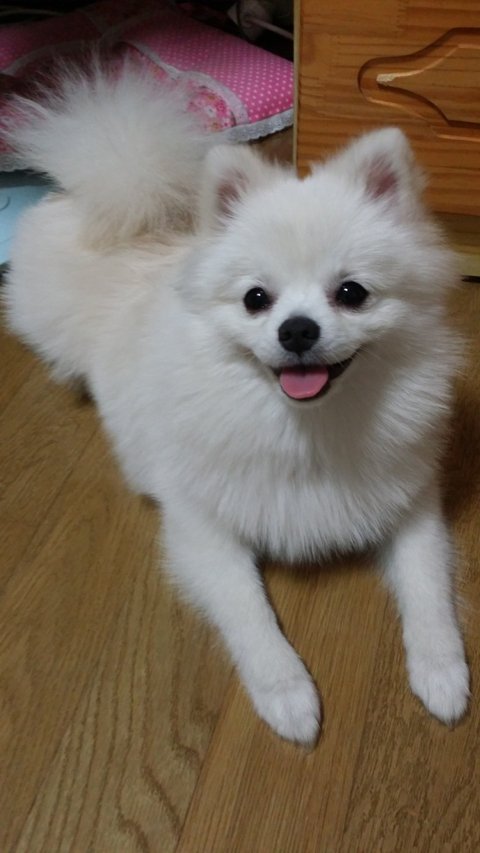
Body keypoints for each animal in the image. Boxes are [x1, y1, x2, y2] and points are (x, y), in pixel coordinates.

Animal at [3, 64, 469, 745]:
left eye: (351, 293)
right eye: (256, 299)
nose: (297, 330)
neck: (305, 426)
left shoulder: (411, 504)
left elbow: (428, 586)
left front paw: (442, 672)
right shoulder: (202, 527)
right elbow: (249, 613)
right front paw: (287, 694)